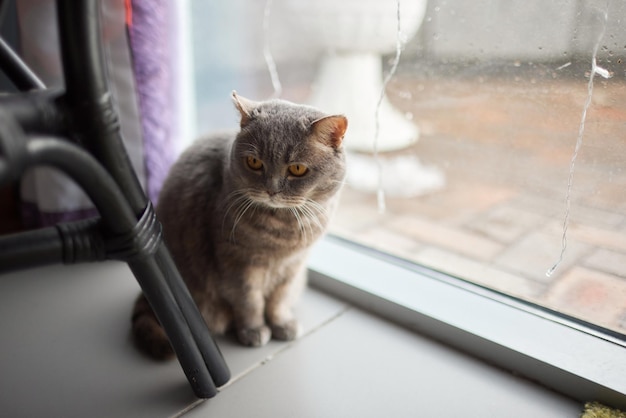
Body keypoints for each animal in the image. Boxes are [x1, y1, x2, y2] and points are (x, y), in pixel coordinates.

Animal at [132, 92, 346, 360]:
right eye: (254, 162)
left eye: (297, 169)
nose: (271, 190)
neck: (283, 231)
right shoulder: (237, 263)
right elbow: (249, 300)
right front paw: (253, 331)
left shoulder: (293, 266)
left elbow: (280, 298)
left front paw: (282, 324)